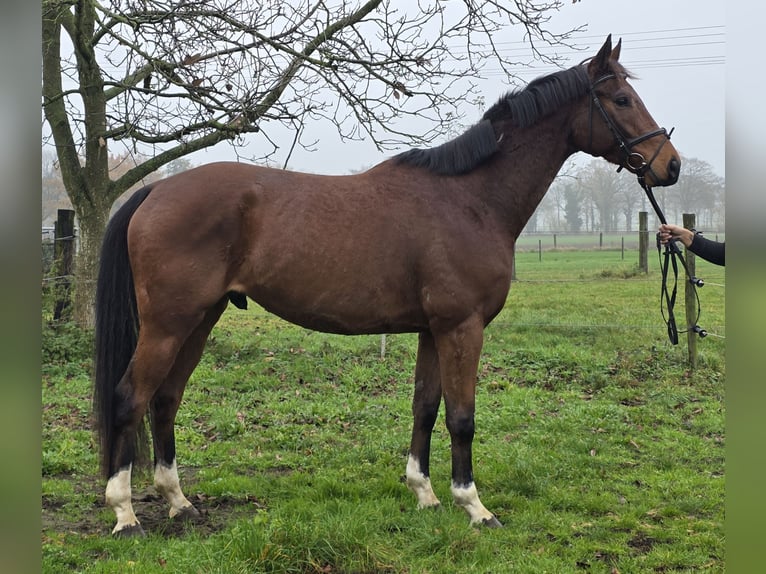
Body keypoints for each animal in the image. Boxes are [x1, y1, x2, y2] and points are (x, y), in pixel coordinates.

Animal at [94, 35, 680, 537]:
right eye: (622, 99)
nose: (669, 166)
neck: (470, 199)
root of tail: (155, 192)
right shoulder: (462, 328)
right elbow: (462, 417)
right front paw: (474, 506)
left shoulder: (432, 330)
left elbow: (425, 406)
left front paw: (425, 494)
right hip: (168, 324)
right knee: (129, 398)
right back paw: (125, 514)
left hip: (200, 318)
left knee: (165, 398)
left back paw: (178, 502)